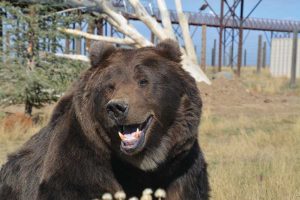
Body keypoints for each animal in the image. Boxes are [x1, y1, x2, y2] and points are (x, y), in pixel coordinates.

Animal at [0, 39, 209, 200]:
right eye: (110, 86)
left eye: (143, 81)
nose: (117, 107)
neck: (144, 163)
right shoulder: (81, 162)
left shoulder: (181, 170)